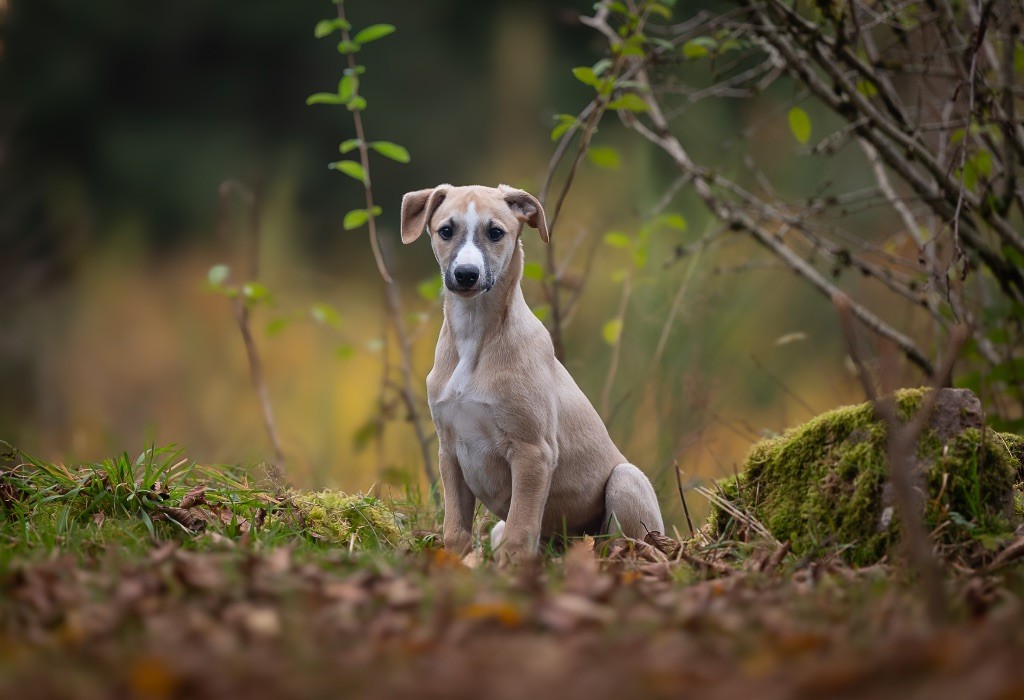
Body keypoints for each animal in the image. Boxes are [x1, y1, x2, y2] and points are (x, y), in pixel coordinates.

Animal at [399, 184, 663, 564]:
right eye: (446, 230)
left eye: (496, 232)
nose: (466, 274)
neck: (476, 337)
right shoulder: (449, 450)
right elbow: (455, 531)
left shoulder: (533, 452)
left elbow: (520, 530)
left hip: (626, 482)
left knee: (623, 544)